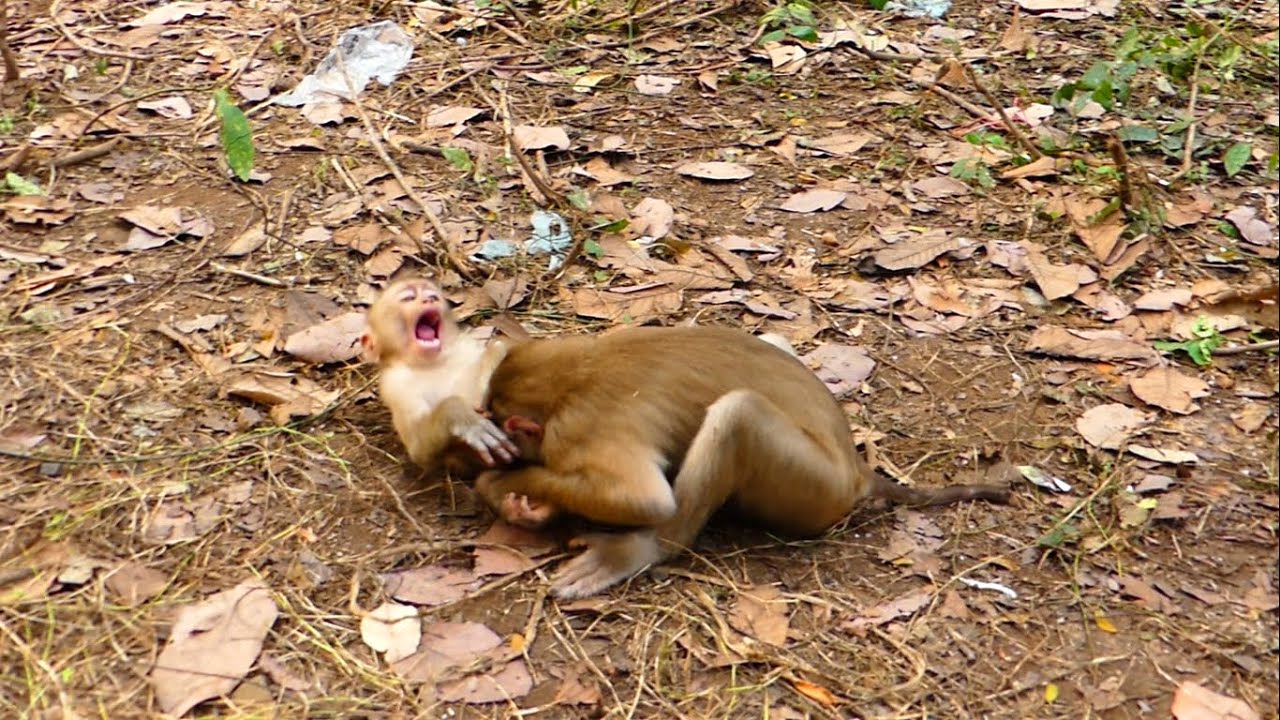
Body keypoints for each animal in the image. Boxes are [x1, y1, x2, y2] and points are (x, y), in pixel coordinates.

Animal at [362, 276, 519, 474]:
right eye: (408, 298)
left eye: (432, 296)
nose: (429, 300)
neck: (433, 363)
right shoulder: (395, 384)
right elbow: (419, 449)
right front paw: (462, 417)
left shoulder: (466, 345)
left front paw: (498, 351)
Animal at [469, 327, 1009, 599]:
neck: (571, 370)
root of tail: (857, 473)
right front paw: (526, 506)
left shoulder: (577, 434)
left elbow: (644, 499)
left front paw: (503, 483)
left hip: (813, 488)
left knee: (738, 414)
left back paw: (642, 550)